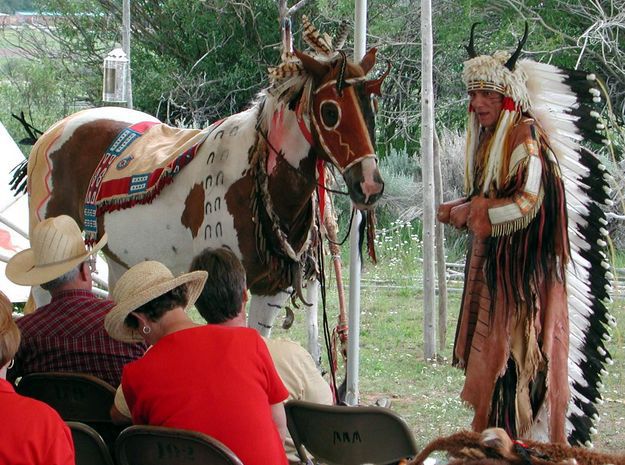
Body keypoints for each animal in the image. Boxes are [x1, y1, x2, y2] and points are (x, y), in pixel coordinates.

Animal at [22, 36, 386, 342]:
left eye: (371, 106)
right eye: (330, 112)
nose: (370, 184)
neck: (257, 181)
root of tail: (52, 132)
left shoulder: (273, 288)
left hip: (122, 262)